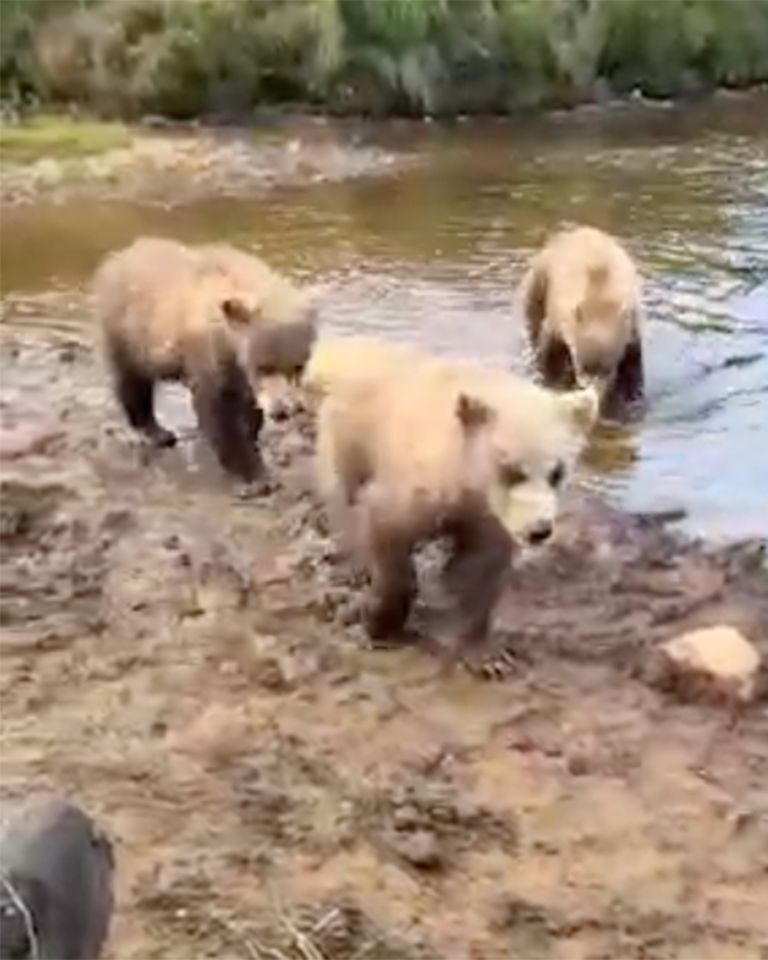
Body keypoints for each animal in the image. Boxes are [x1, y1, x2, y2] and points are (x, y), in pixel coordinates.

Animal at [92, 237, 317, 482]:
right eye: (263, 366)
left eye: (298, 367)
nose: (283, 411)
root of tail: (117, 256)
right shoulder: (208, 356)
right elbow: (217, 412)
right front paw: (253, 474)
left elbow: (247, 408)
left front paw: (252, 433)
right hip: (127, 334)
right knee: (132, 382)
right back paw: (156, 433)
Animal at [316, 354, 598, 651]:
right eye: (510, 470)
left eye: (557, 472)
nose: (539, 530)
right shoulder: (419, 486)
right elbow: (387, 530)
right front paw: (381, 621)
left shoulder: (487, 516)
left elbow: (480, 564)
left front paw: (471, 641)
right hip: (351, 441)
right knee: (344, 498)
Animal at [519, 225, 644, 418]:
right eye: (582, 365)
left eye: (607, 369)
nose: (591, 392)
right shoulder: (559, 320)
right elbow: (549, 352)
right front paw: (552, 381)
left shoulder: (632, 326)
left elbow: (633, 362)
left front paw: (630, 397)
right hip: (539, 281)